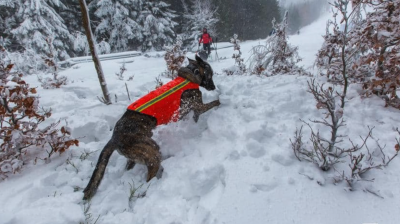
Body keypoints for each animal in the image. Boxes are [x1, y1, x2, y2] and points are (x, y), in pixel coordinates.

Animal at [81, 55, 219, 200]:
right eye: (211, 74)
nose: (214, 87)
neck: (192, 74)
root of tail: (114, 137)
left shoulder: (193, 110)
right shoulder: (198, 106)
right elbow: (214, 103)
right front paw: (221, 101)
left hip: (136, 155)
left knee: (129, 167)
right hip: (152, 153)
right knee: (149, 177)